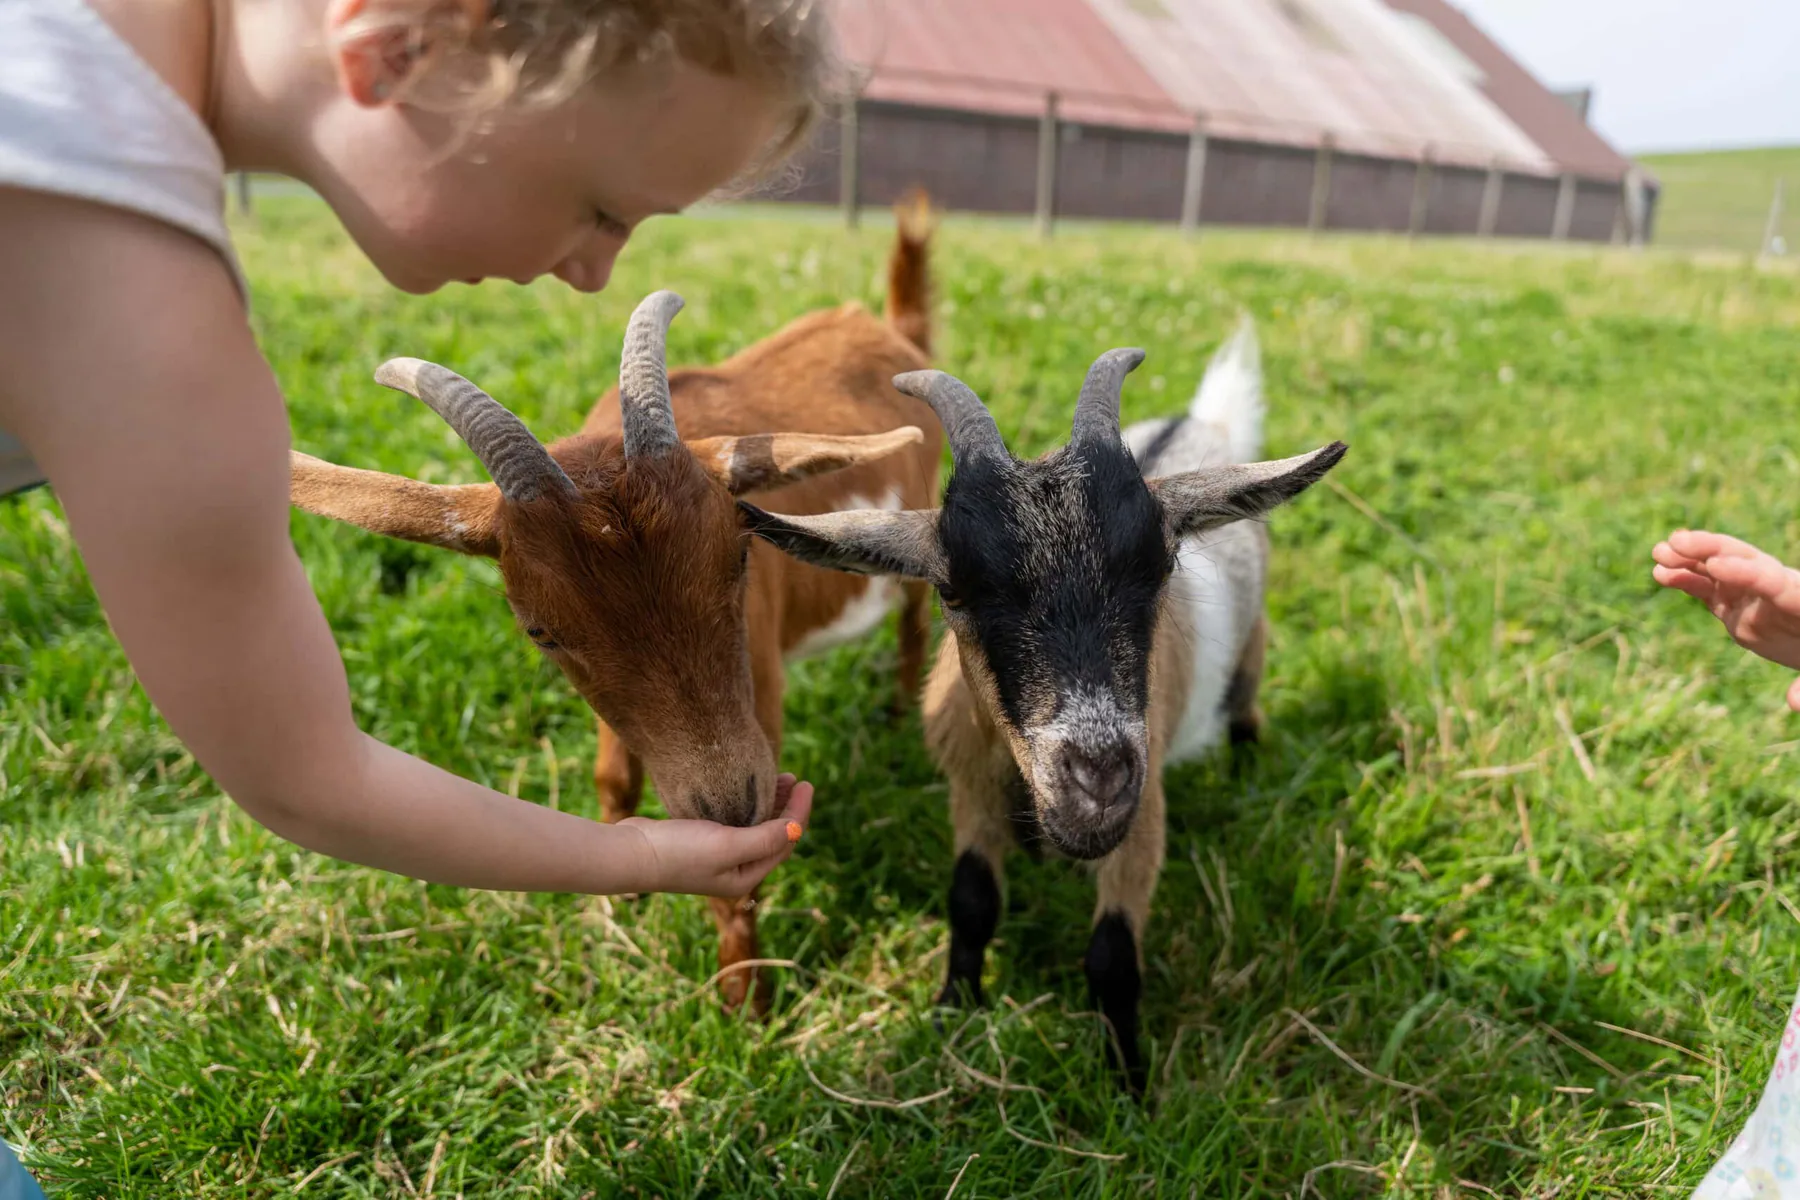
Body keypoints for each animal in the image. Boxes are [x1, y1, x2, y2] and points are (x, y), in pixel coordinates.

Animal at [288, 200, 941, 1012]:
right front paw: (618, 903)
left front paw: (743, 1000)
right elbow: (613, 776)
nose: (730, 804)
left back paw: (900, 715)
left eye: (739, 560)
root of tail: (892, 328)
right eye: (541, 632)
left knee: (914, 624)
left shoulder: (761, 679)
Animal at [740, 321, 1346, 1086]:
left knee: (1245, 710)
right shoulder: (968, 785)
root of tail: (1202, 427)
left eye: (1160, 567)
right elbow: (972, 904)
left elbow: (1112, 959)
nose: (1098, 780)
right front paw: (952, 1011)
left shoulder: (1142, 816)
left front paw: (1129, 1083)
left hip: (1251, 650)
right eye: (953, 588)